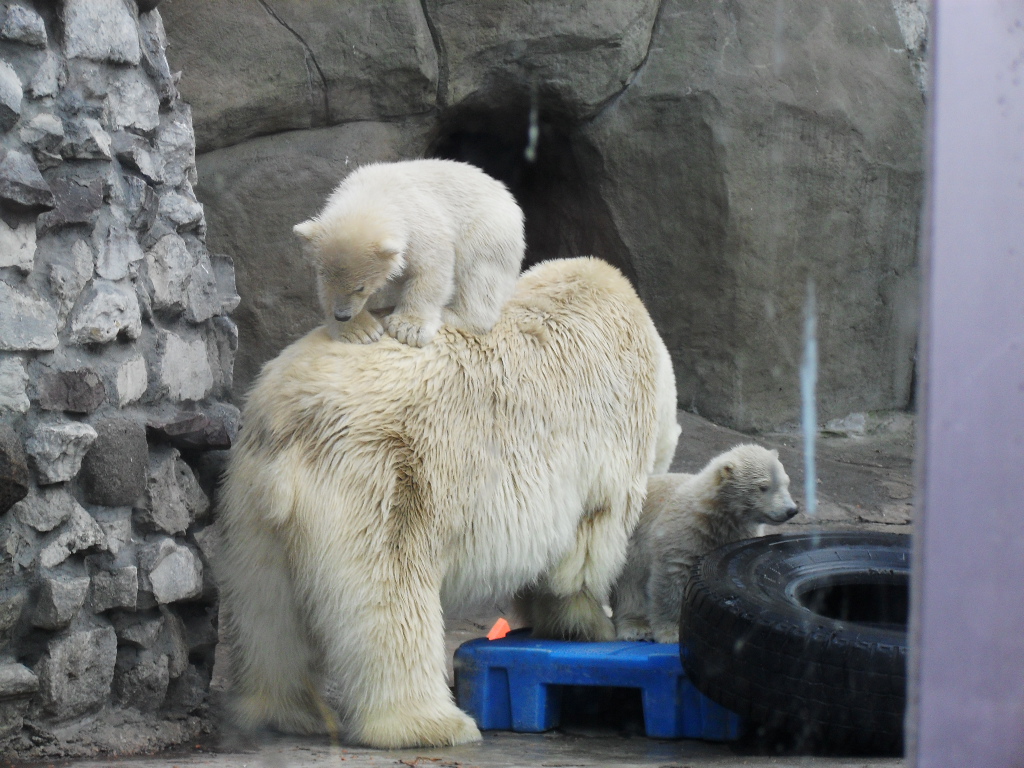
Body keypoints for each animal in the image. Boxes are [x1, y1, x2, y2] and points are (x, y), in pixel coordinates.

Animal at [216, 257, 679, 745]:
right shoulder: (609, 438)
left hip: (249, 495)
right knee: (389, 590)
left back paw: (287, 712)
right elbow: (586, 552)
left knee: (266, 605)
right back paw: (431, 723)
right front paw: (591, 625)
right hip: (386, 477)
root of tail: (294, 421)